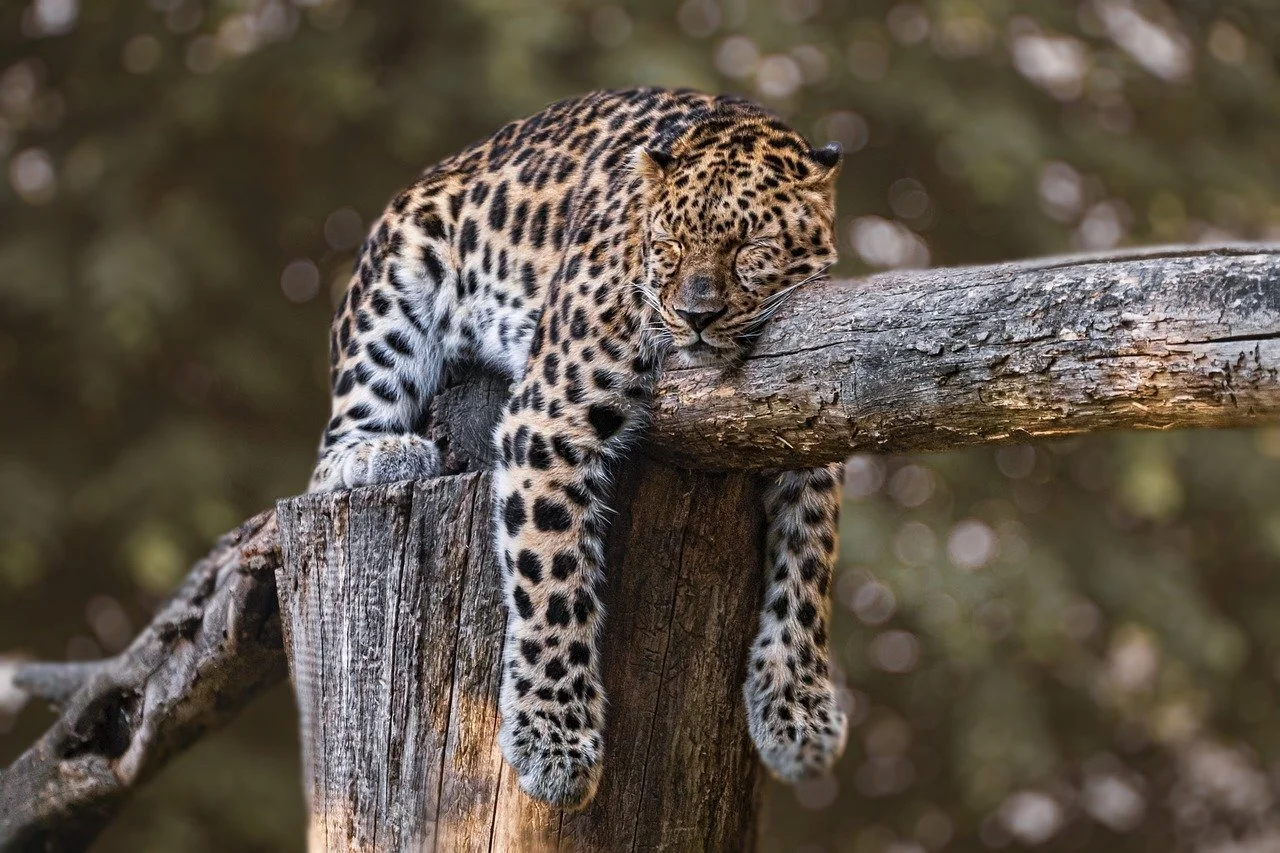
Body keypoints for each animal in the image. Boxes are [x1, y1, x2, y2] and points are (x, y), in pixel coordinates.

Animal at [308, 88, 847, 810]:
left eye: (750, 247)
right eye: (670, 246)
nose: (696, 317)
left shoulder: (813, 429)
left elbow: (809, 569)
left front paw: (797, 713)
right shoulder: (548, 419)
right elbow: (553, 577)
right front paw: (553, 741)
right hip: (393, 290)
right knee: (331, 450)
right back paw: (381, 454)